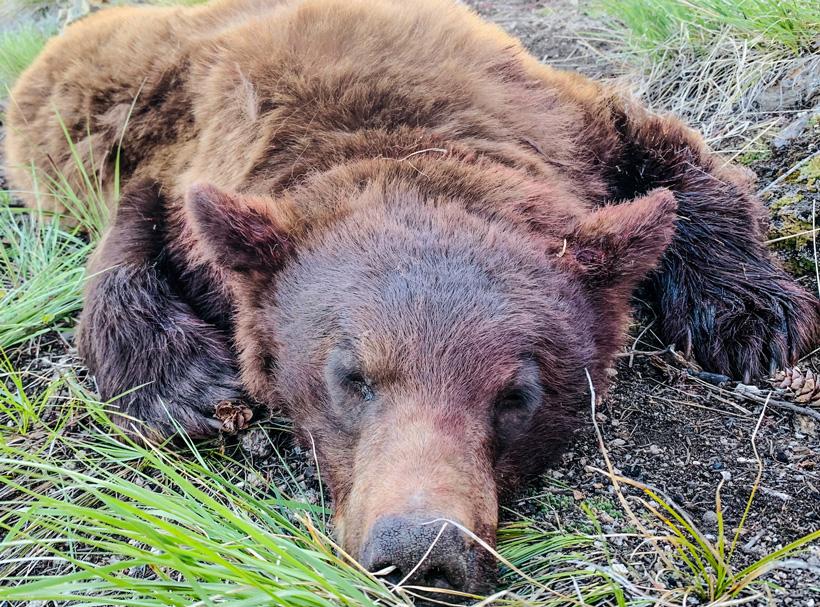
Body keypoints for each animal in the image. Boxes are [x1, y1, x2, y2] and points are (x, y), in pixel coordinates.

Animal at [5, 0, 819, 595]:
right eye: (349, 377)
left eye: (517, 395)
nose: (422, 547)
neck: (401, 134)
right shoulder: (182, 159)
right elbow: (127, 238)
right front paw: (189, 389)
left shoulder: (557, 117)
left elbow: (667, 152)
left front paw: (754, 312)